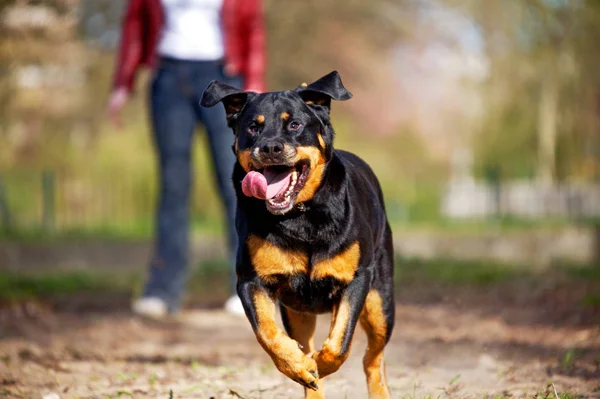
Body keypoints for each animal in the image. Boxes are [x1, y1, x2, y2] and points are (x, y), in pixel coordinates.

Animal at [200, 72, 394, 399]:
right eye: (253, 126)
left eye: (294, 125)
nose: (270, 147)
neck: (300, 215)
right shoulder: (251, 281)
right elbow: (267, 333)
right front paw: (300, 366)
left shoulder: (357, 279)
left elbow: (340, 343)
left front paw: (318, 364)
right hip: (298, 312)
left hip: (381, 301)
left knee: (373, 358)